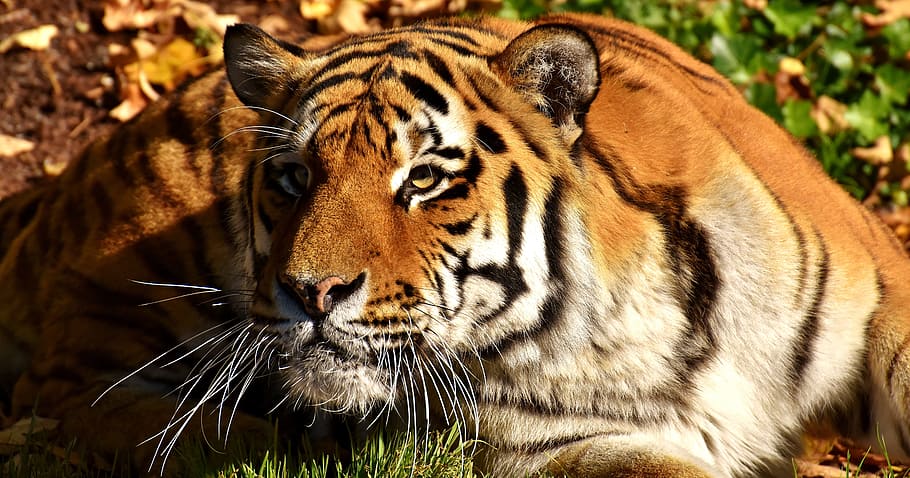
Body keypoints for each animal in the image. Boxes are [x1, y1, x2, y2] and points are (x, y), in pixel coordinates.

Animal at [3, 11, 910, 477]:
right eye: (294, 176)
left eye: (424, 180)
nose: (310, 292)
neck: (628, 317)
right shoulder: (576, 446)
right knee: (72, 411)